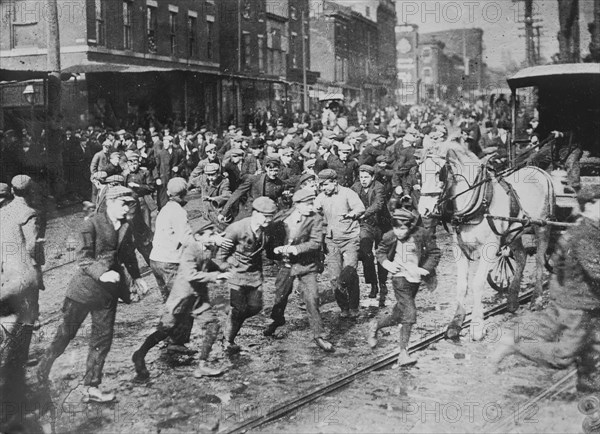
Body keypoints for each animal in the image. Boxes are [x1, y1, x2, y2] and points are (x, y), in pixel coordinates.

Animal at [418, 142, 552, 340]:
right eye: (419, 172)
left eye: (438, 173)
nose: (423, 210)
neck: (475, 203)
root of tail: (539, 171)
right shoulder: (459, 248)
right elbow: (462, 285)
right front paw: (455, 324)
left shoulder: (489, 248)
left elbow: (477, 283)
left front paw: (476, 326)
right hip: (513, 233)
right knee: (521, 256)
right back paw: (512, 300)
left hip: (542, 227)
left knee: (540, 260)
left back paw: (536, 299)